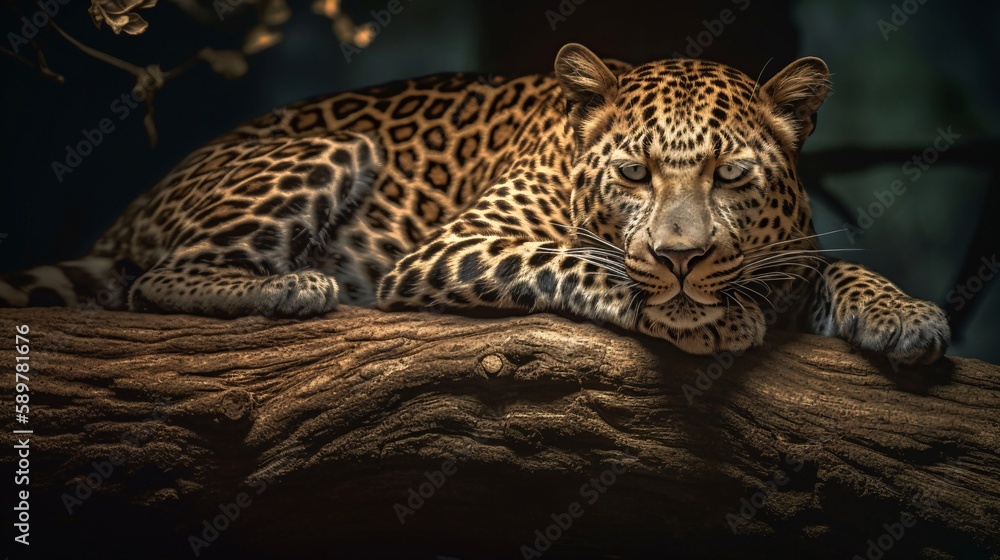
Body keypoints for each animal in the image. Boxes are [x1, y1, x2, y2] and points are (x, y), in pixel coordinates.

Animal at [0, 43, 950, 364]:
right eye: (634, 174)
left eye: (729, 177)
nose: (681, 258)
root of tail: (136, 204)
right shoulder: (457, 244)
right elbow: (584, 262)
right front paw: (696, 311)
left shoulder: (793, 255)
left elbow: (833, 272)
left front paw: (905, 315)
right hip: (338, 147)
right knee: (154, 281)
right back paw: (290, 287)